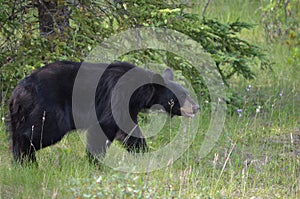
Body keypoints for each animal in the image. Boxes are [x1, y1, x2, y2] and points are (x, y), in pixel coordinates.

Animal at [7, 60, 199, 163]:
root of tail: (19, 91)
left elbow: (130, 132)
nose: (197, 107)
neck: (138, 92)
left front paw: (146, 155)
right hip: (49, 109)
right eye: (182, 95)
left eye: (187, 93)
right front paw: (95, 162)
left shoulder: (128, 108)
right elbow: (104, 127)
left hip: (18, 115)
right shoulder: (116, 98)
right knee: (37, 133)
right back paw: (28, 160)